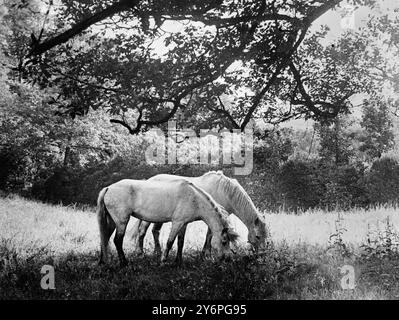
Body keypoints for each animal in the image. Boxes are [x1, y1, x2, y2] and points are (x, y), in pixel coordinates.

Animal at [97, 179, 239, 266]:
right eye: (224, 242)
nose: (228, 259)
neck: (194, 198)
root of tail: (108, 188)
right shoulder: (177, 223)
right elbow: (170, 242)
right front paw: (163, 261)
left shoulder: (184, 223)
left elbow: (180, 242)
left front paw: (178, 261)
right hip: (122, 222)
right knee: (117, 240)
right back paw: (124, 263)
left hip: (111, 222)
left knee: (105, 237)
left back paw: (103, 261)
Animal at [133, 171, 270, 262]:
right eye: (257, 236)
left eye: (265, 236)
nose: (262, 255)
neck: (225, 192)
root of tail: (149, 180)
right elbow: (209, 236)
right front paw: (206, 255)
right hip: (148, 218)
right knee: (142, 231)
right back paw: (141, 253)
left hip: (159, 218)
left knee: (155, 231)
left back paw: (157, 252)